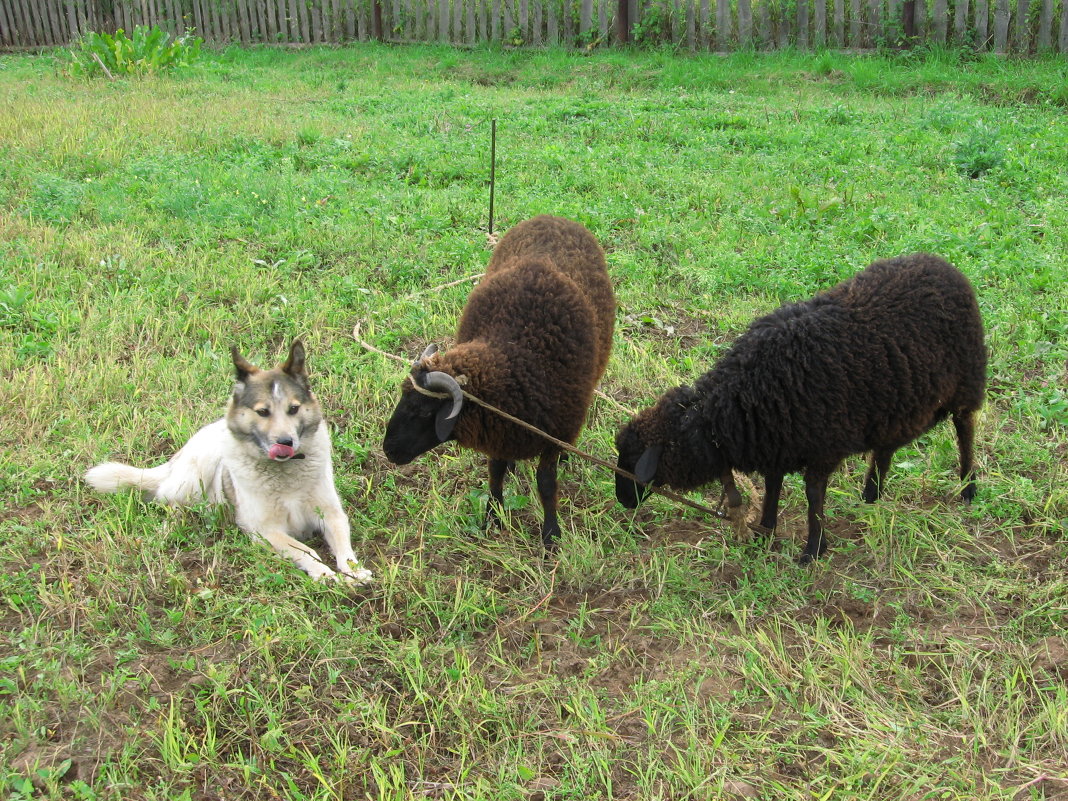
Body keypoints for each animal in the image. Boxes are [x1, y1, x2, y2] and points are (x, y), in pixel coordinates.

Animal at [85, 339, 373, 585]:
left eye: (293, 409)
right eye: (263, 412)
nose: (286, 442)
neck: (285, 473)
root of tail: (175, 459)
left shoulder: (332, 515)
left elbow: (344, 547)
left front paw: (354, 571)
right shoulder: (265, 529)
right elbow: (304, 550)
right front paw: (323, 573)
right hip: (198, 471)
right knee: (168, 500)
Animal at [384, 214, 619, 551]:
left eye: (426, 411)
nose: (388, 451)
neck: (515, 356)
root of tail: (552, 216)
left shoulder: (555, 428)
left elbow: (546, 483)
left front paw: (551, 535)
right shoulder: (496, 426)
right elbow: (494, 470)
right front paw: (492, 516)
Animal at [615, 255, 986, 563]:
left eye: (633, 462)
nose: (622, 500)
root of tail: (941, 264)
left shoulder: (823, 445)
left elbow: (812, 494)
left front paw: (813, 549)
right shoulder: (777, 441)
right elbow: (773, 485)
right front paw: (765, 530)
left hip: (966, 380)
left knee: (965, 428)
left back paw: (968, 487)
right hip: (895, 403)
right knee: (887, 445)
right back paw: (871, 493)